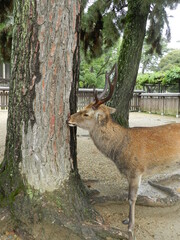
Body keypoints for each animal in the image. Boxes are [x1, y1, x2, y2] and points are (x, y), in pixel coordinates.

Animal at [67, 63, 180, 240]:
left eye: (86, 113)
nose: (69, 118)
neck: (120, 149)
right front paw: (127, 220)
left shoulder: (136, 170)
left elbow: (131, 198)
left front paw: (130, 228)